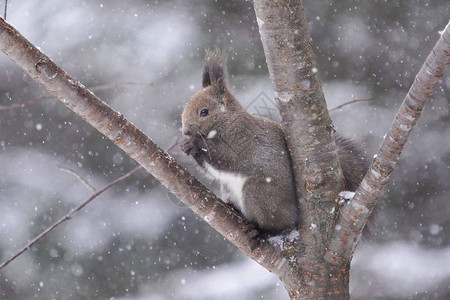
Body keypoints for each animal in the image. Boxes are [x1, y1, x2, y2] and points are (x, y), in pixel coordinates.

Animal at [181, 49, 368, 234]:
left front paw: (195, 144)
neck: (226, 122)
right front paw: (187, 146)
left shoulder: (243, 141)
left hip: (259, 193)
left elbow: (227, 158)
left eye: (204, 112)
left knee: (279, 224)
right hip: (228, 189)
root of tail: (295, 214)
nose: (185, 131)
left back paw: (260, 229)